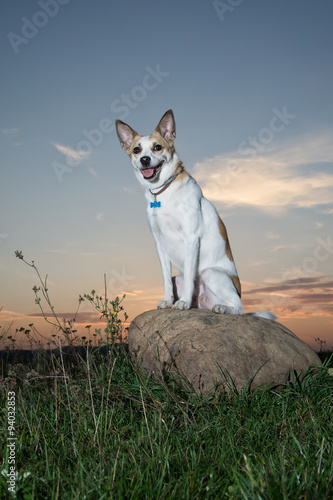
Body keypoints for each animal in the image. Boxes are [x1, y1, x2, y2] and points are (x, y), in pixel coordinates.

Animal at [115, 110, 274, 320]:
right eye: (136, 150)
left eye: (157, 147)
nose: (145, 160)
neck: (164, 192)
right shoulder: (160, 244)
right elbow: (165, 278)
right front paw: (167, 300)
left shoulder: (191, 239)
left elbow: (191, 276)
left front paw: (183, 302)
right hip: (180, 278)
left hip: (210, 274)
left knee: (239, 307)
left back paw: (222, 308)